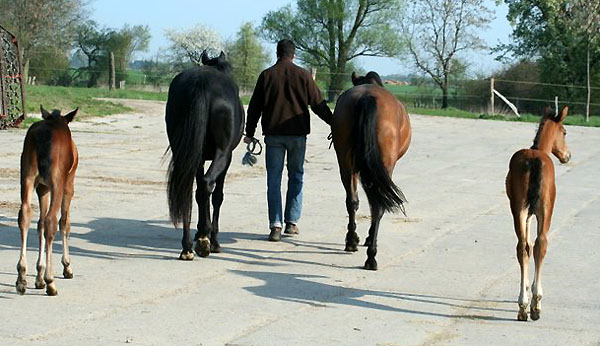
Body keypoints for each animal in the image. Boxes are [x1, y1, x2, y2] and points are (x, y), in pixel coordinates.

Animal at [15, 105, 79, 294]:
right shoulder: (68, 185)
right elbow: (64, 222)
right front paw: (66, 267)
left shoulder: (42, 188)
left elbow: (40, 224)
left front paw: (39, 276)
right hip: (58, 182)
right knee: (52, 220)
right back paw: (51, 281)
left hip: (27, 177)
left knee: (25, 215)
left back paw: (21, 277)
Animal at [164, 51, 244, 260]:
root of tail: (201, 82)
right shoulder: (227, 158)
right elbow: (216, 195)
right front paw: (211, 238)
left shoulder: (198, 159)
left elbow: (200, 193)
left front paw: (201, 231)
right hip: (222, 154)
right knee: (208, 184)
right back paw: (205, 243)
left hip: (186, 155)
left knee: (187, 190)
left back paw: (187, 247)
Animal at [330, 71, 410, 270]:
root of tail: (368, 97)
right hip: (383, 166)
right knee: (378, 206)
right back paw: (371, 256)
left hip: (346, 163)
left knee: (352, 201)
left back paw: (351, 241)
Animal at [506, 106, 572, 322]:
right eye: (564, 132)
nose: (567, 155)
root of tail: (535, 160)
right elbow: (534, 246)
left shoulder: (526, 214)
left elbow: (527, 246)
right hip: (545, 210)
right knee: (541, 244)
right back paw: (535, 304)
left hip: (518, 208)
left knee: (522, 246)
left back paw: (523, 307)